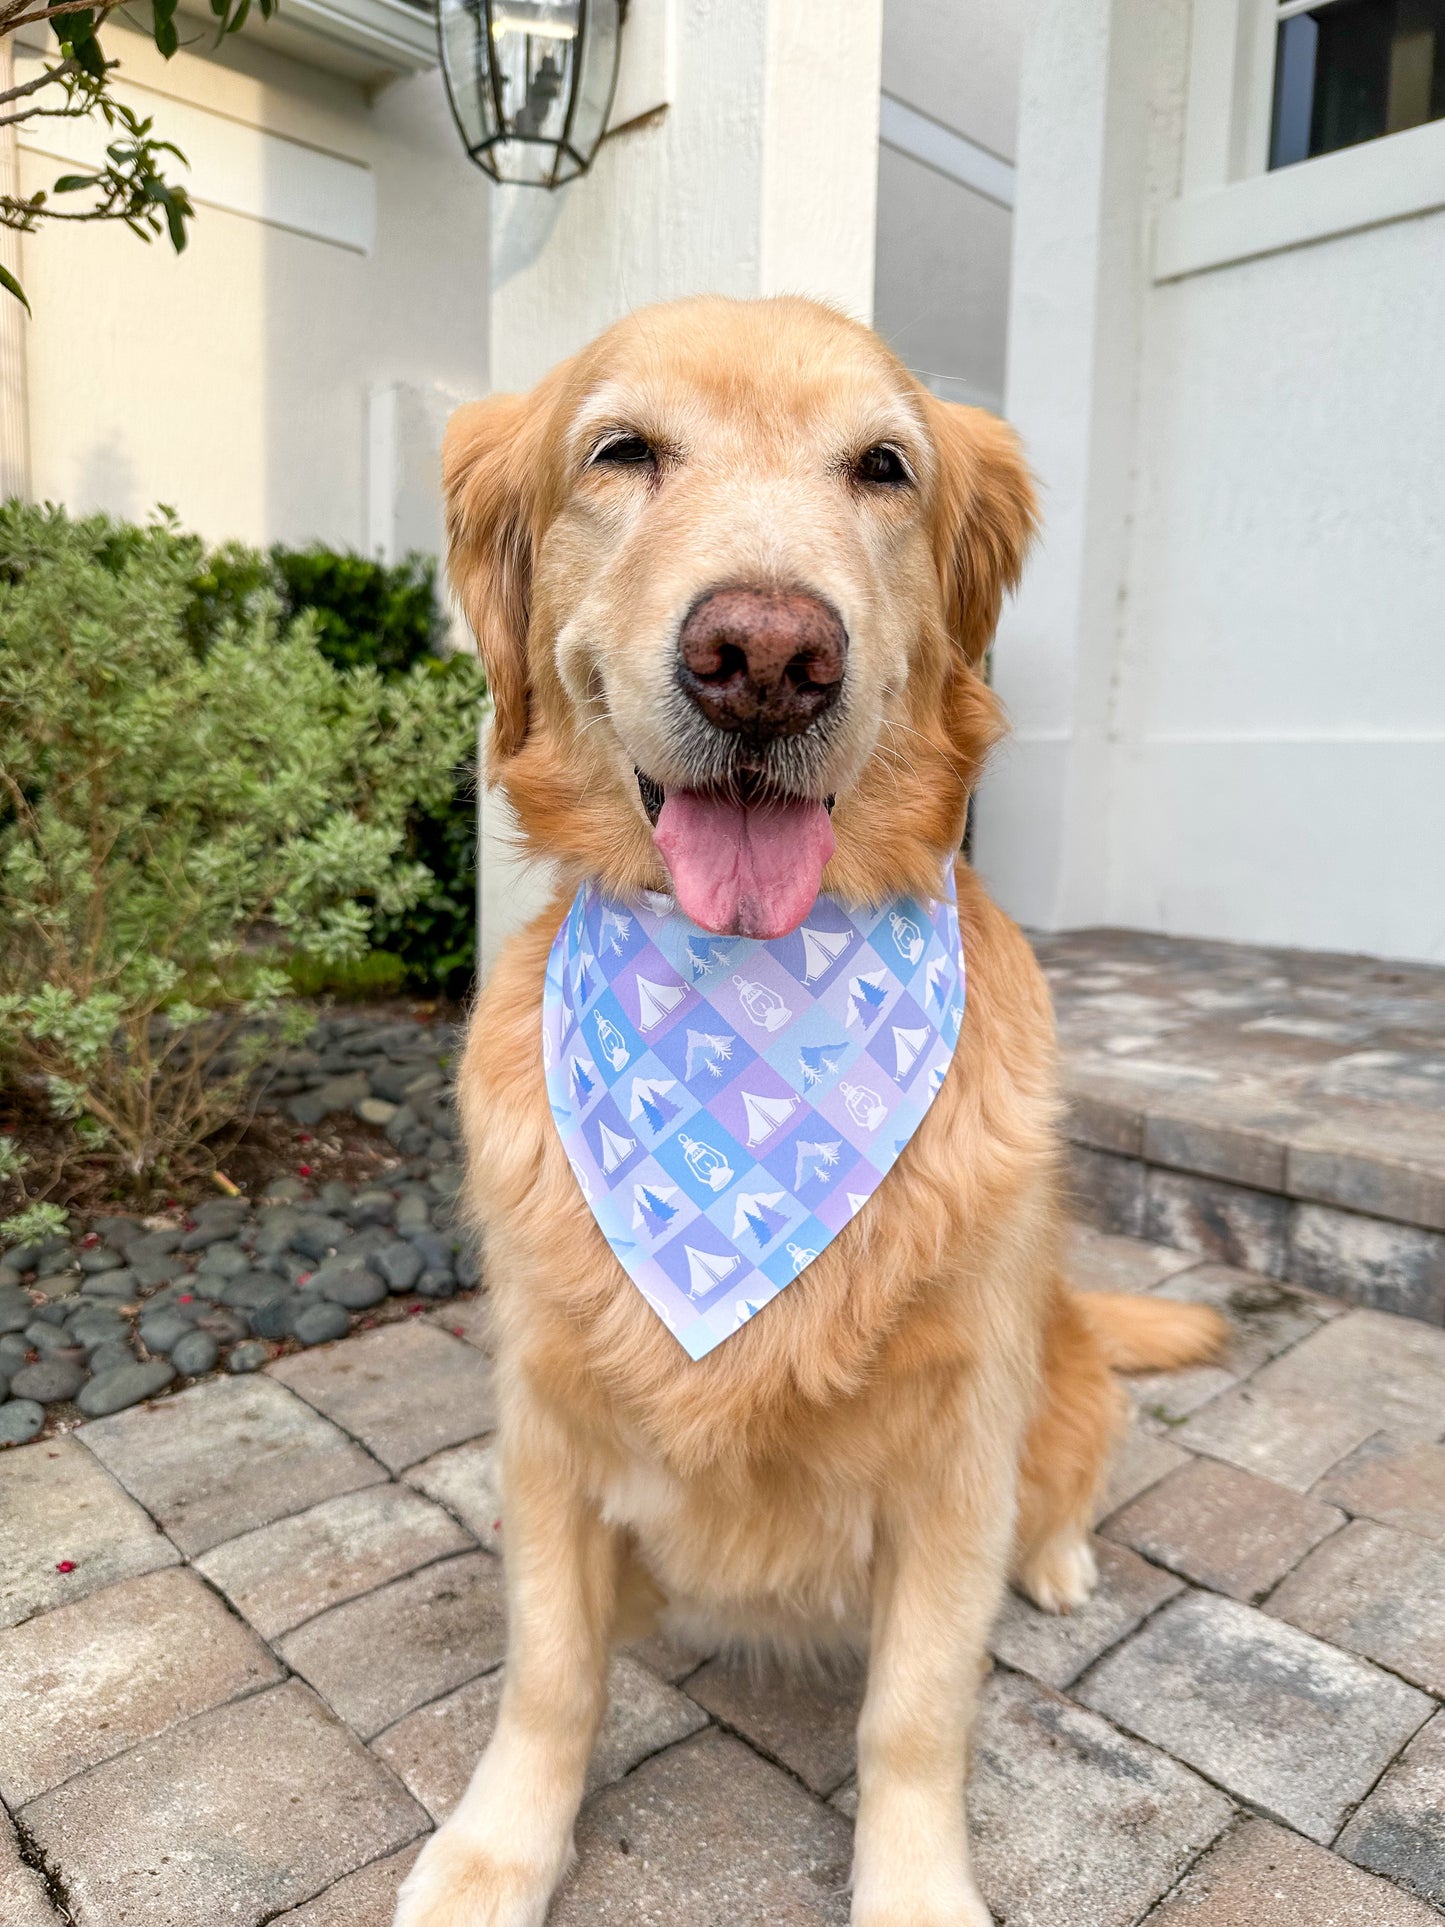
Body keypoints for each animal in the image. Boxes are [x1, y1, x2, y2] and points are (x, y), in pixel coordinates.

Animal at [396, 296, 1225, 1927]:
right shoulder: (546, 1415)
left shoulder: (957, 1446)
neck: (753, 1018)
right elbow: (548, 1670)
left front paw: (913, 1889)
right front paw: (496, 1849)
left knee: (1068, 1484)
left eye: (882, 467)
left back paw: (1058, 1563)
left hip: (1061, 1383)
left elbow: (916, 1709)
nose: (767, 655)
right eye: (621, 450)